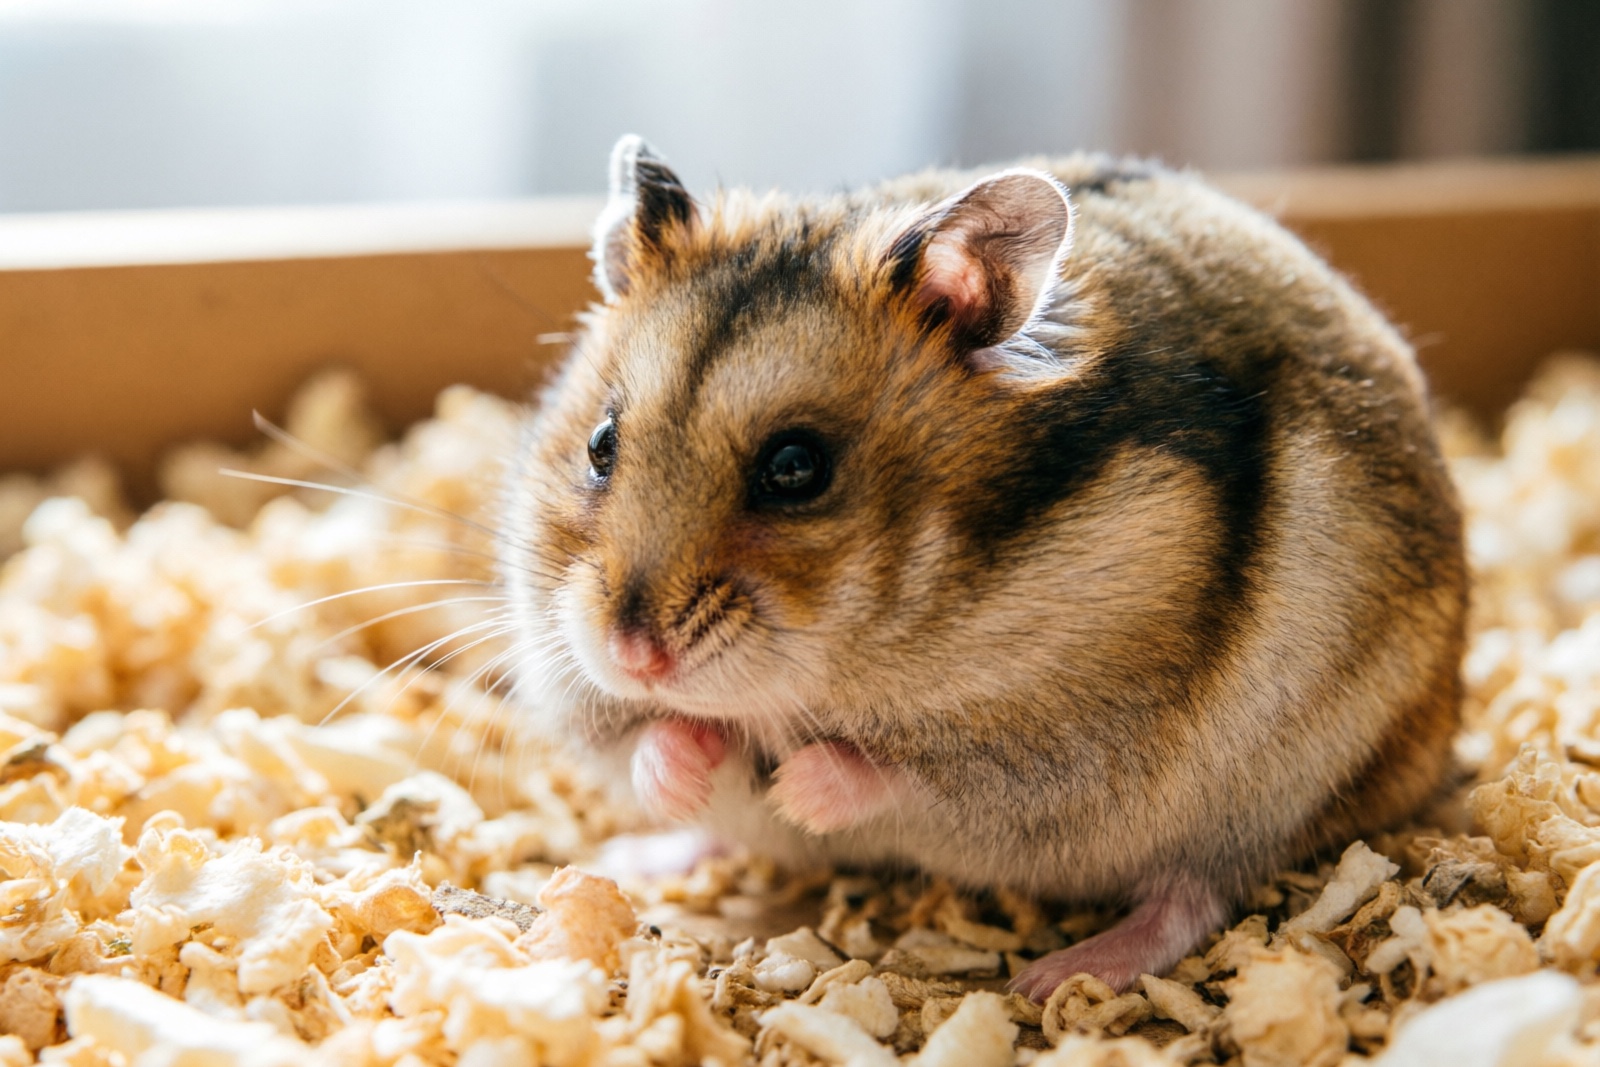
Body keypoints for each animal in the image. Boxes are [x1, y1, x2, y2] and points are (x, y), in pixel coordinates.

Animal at [499, 134, 1467, 1000]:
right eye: (601, 444)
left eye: (796, 468)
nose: (634, 655)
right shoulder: (575, 677)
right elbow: (644, 740)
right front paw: (696, 761)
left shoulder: (1057, 744)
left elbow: (894, 770)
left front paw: (796, 786)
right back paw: (639, 854)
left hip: (1257, 795)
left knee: (1196, 894)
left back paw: (1057, 977)